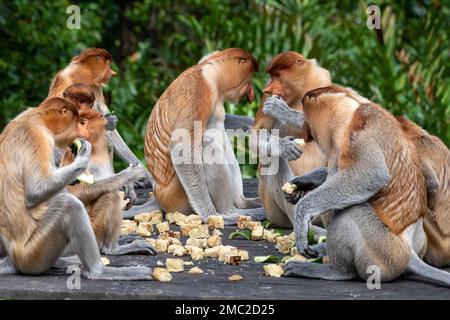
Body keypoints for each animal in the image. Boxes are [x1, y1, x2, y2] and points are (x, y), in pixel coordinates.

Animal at [0, 97, 152, 280]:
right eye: (79, 122)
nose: (81, 134)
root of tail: (12, 257)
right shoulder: (39, 137)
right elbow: (38, 191)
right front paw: (129, 175)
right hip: (34, 252)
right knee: (79, 203)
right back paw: (102, 266)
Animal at [47, 47, 153, 208]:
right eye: (107, 64)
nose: (112, 72)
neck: (82, 74)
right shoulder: (66, 80)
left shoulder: (96, 89)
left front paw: (144, 174)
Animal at [143, 48, 264, 225]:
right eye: (249, 79)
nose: (251, 95)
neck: (209, 71)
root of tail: (159, 195)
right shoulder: (200, 90)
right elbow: (183, 148)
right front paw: (211, 215)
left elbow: (225, 121)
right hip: (177, 196)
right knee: (207, 145)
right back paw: (227, 213)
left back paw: (244, 203)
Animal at [268, 85, 450, 288]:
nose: (307, 131)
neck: (351, 113)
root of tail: (408, 252)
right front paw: (299, 185)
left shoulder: (359, 137)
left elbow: (370, 176)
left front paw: (302, 212)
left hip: (383, 252)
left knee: (348, 213)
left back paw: (335, 271)